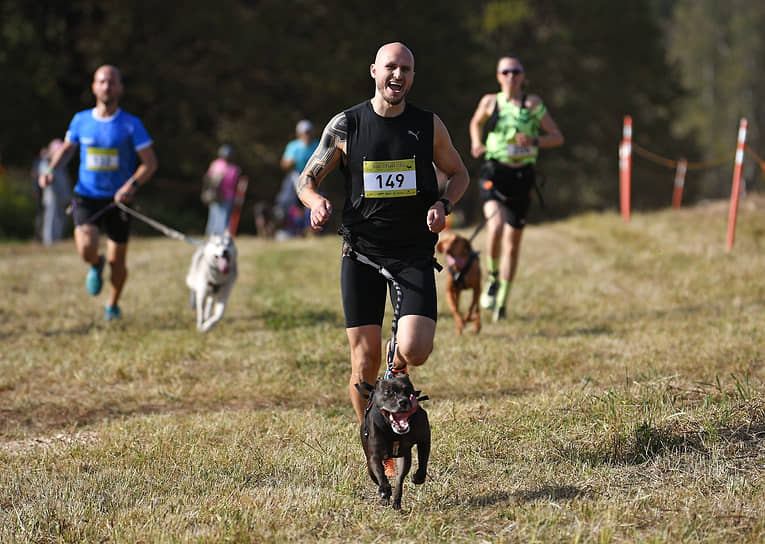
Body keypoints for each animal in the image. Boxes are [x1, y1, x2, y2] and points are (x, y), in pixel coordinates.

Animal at [356, 374, 430, 510]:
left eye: (407, 390)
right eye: (388, 392)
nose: (403, 401)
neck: (393, 430)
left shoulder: (424, 440)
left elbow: (423, 463)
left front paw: (418, 477)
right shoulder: (374, 455)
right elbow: (380, 474)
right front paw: (384, 489)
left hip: (405, 457)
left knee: (399, 479)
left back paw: (396, 500)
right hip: (370, 466)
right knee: (378, 476)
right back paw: (385, 497)